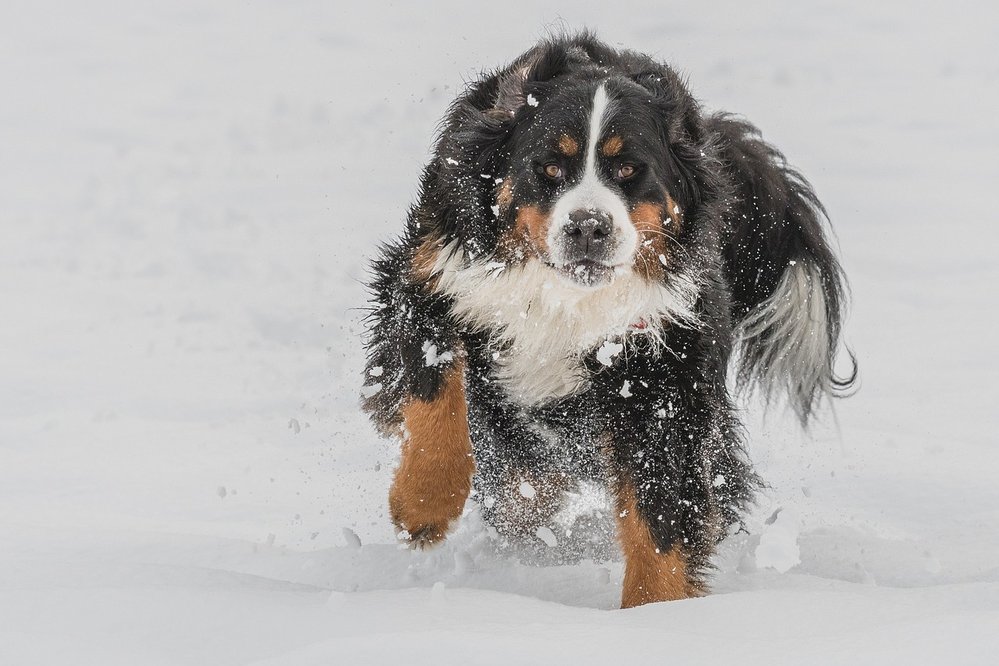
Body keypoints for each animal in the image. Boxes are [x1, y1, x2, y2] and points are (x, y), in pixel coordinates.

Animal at [360, 32, 852, 608]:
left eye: (629, 171)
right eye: (550, 167)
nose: (588, 227)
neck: (563, 300)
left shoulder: (659, 373)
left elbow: (660, 513)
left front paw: (654, 612)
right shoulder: (432, 278)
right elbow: (435, 395)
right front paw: (421, 507)